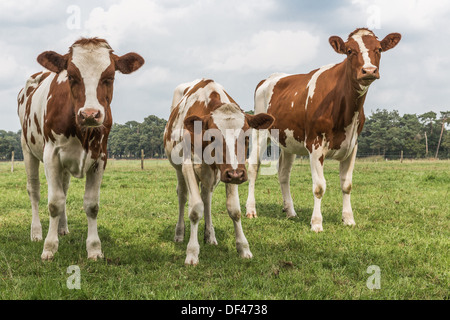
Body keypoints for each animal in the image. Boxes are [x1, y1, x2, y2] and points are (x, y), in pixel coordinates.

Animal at [17, 38, 144, 262]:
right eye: (71, 76)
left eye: (109, 77)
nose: (90, 114)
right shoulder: (51, 155)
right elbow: (54, 202)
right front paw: (49, 247)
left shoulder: (101, 157)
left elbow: (91, 205)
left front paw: (94, 248)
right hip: (27, 149)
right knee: (34, 190)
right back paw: (36, 232)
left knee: (64, 189)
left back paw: (62, 228)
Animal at [163, 79, 272, 264]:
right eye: (213, 137)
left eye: (247, 137)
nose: (236, 174)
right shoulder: (188, 165)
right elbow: (195, 209)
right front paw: (192, 252)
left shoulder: (230, 172)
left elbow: (234, 209)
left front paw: (243, 248)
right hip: (179, 170)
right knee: (183, 196)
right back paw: (179, 234)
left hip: (212, 176)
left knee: (206, 198)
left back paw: (210, 236)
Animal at [246, 28, 400, 231]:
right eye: (349, 51)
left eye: (379, 49)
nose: (369, 70)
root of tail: (269, 78)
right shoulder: (315, 144)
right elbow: (319, 187)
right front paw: (317, 223)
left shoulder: (352, 145)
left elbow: (347, 185)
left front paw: (348, 219)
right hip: (260, 131)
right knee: (253, 166)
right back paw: (251, 210)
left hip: (289, 141)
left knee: (284, 173)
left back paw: (290, 211)